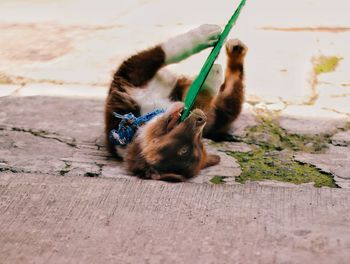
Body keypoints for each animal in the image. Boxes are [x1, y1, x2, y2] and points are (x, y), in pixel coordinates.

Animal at [104, 24, 246, 182]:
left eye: (200, 139)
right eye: (184, 150)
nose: (201, 119)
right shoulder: (128, 76)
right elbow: (163, 52)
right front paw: (207, 41)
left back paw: (236, 49)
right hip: (221, 116)